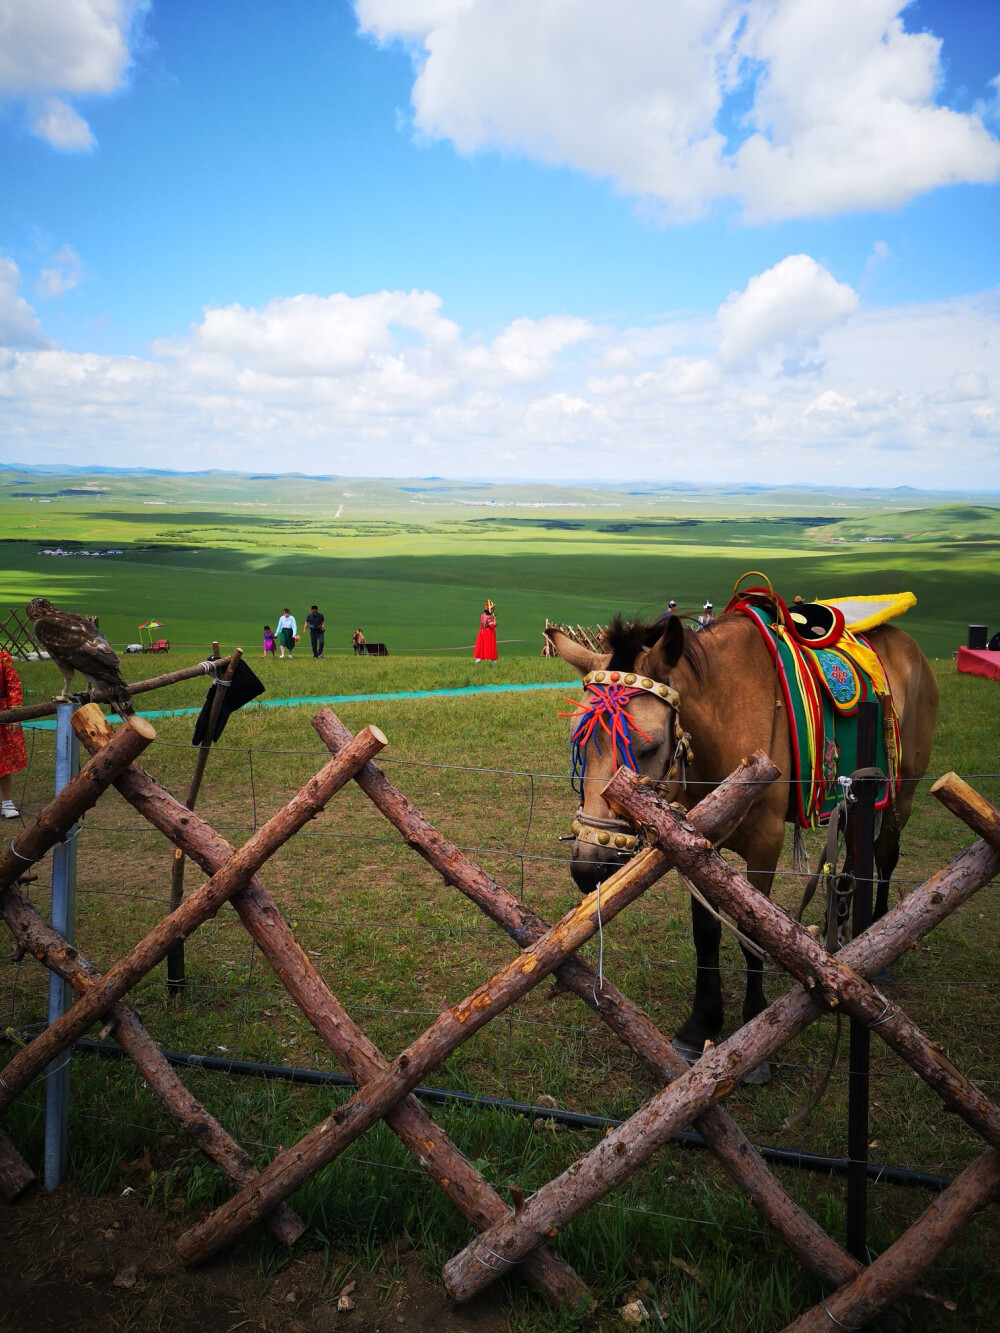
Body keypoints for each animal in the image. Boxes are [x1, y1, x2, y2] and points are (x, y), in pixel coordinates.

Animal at [549, 610, 938, 1066]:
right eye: (578, 741)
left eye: (650, 746)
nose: (589, 864)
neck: (726, 722)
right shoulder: (695, 839)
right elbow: (706, 932)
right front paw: (700, 1024)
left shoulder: (766, 843)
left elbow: (753, 932)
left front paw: (754, 1025)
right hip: (859, 798)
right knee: (854, 853)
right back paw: (839, 923)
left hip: (902, 794)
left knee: (885, 854)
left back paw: (878, 934)